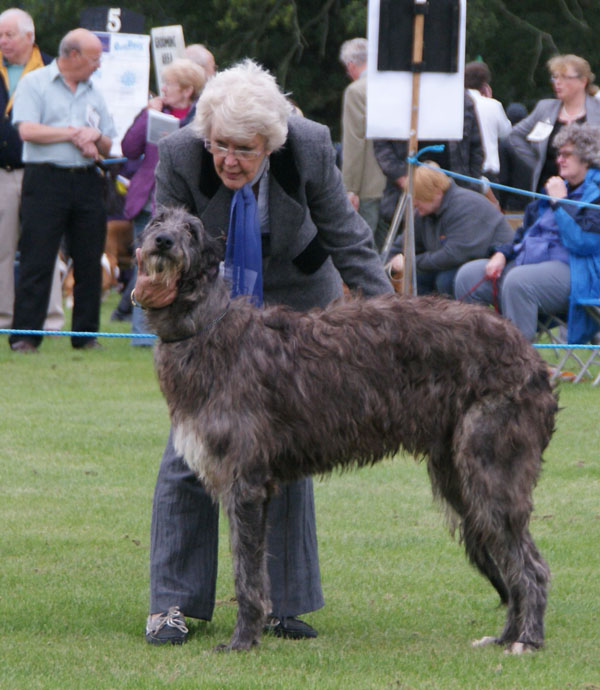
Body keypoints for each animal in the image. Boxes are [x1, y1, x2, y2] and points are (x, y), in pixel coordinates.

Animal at [139, 204, 556, 652]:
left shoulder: (245, 482)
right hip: (459, 476)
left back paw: (527, 640)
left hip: (491, 468)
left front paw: (242, 641)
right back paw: (506, 636)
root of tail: (533, 358)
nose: (162, 241)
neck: (209, 328)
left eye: (192, 231)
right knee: (510, 562)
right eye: (156, 221)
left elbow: (246, 573)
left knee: (532, 566)